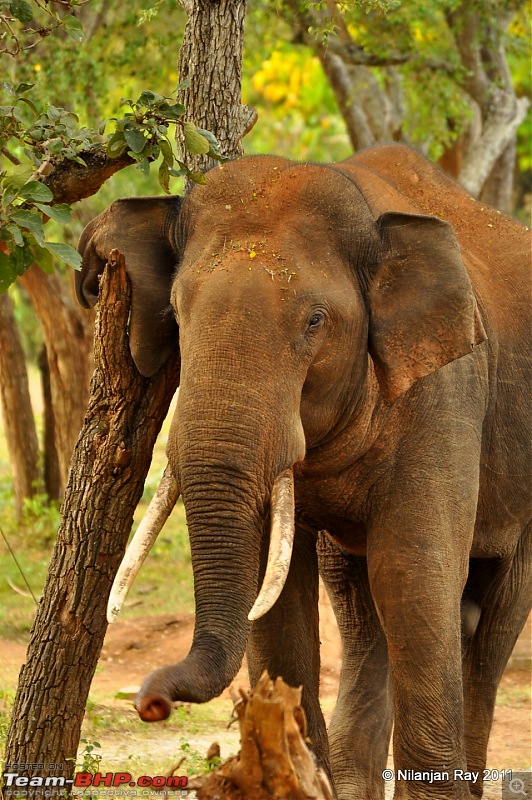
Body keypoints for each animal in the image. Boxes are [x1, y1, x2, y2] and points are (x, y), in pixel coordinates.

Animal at [77, 145, 528, 800]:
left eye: (314, 321)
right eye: (176, 313)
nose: (149, 704)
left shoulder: (446, 392)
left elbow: (413, 575)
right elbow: (281, 597)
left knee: (492, 622)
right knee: (361, 611)